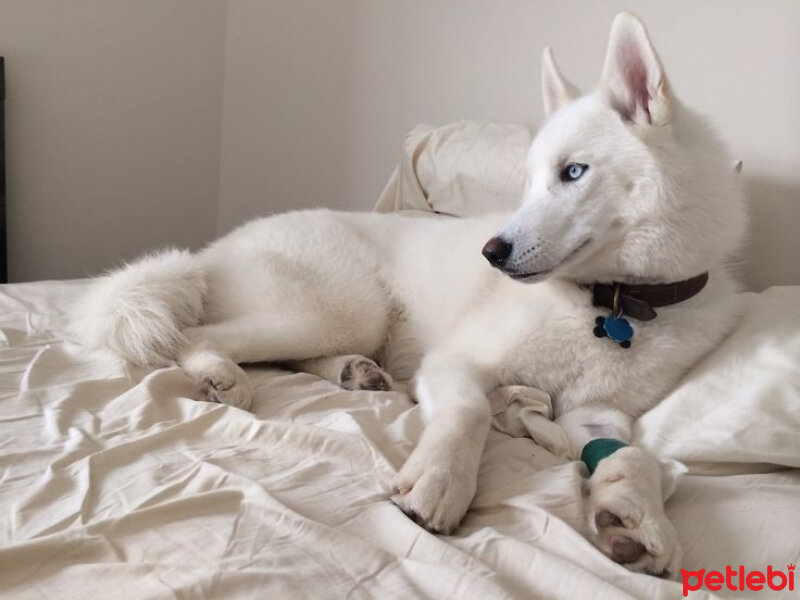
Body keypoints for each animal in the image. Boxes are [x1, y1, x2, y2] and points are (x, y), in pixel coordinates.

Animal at [72, 12, 748, 576]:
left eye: (573, 173)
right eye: (528, 181)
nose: (491, 253)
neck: (616, 302)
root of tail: (209, 254)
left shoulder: (598, 416)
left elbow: (639, 457)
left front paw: (636, 516)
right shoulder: (456, 363)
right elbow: (470, 412)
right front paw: (441, 482)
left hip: (345, 321)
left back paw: (354, 373)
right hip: (344, 309)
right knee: (198, 335)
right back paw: (221, 373)